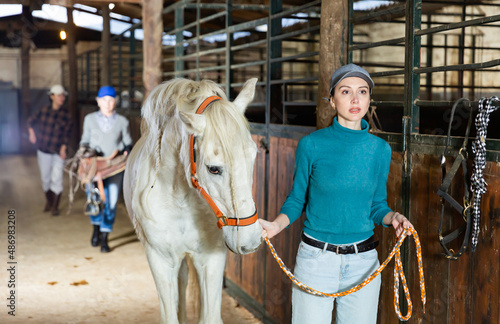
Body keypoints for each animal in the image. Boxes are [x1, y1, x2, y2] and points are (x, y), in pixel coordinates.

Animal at [123, 77, 264, 322]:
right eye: (213, 169)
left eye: (253, 155)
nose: (251, 241)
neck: (180, 199)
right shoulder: (160, 261)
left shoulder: (211, 260)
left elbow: (210, 317)